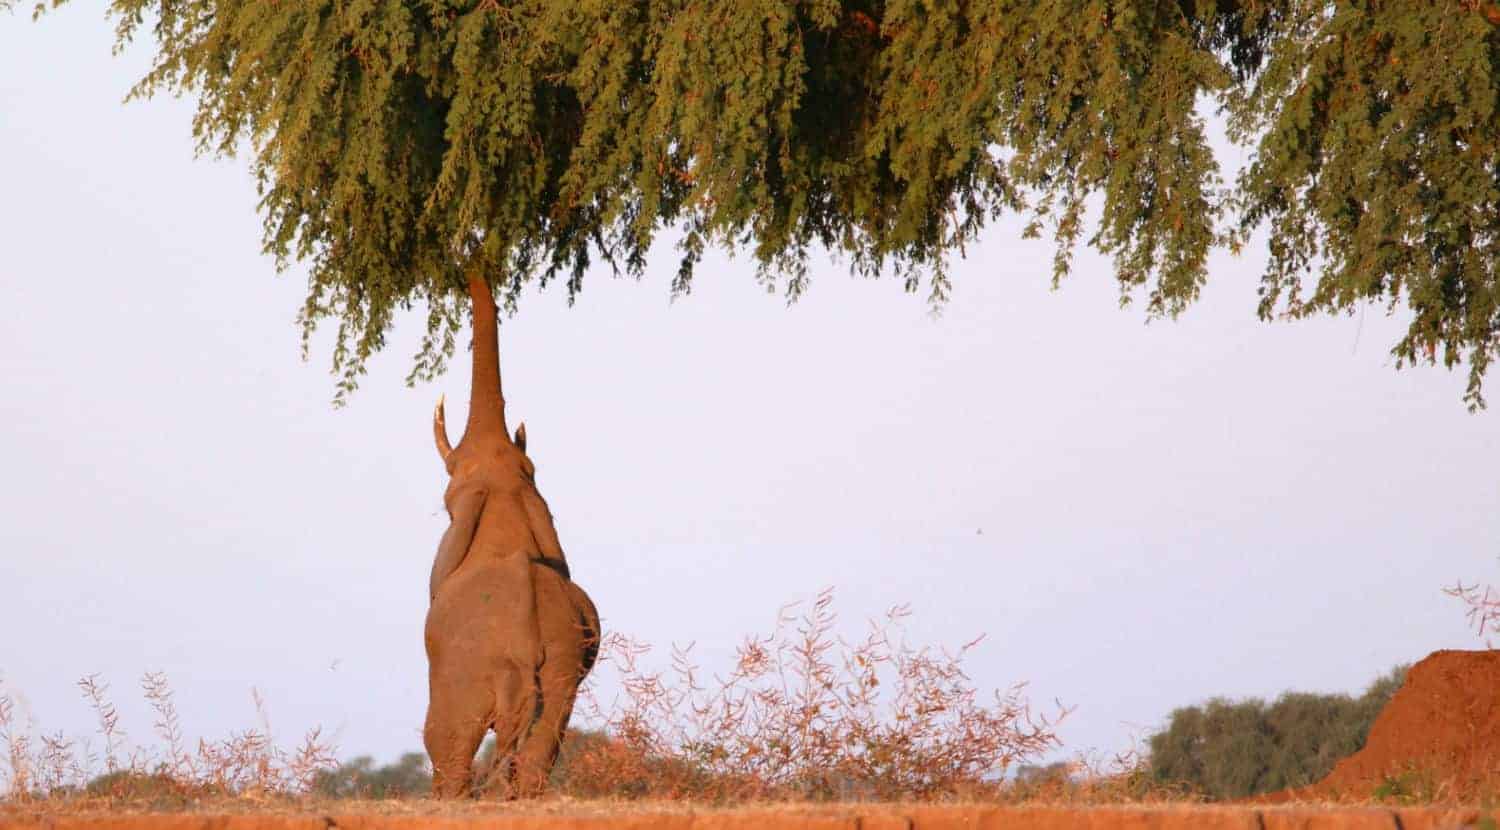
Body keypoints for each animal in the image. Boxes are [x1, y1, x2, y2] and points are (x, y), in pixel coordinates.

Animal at [423, 271, 597, 798]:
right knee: (541, 745)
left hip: (464, 676)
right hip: (561, 666)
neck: (503, 493)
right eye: (530, 467)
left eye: (454, 475)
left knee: (446, 744)